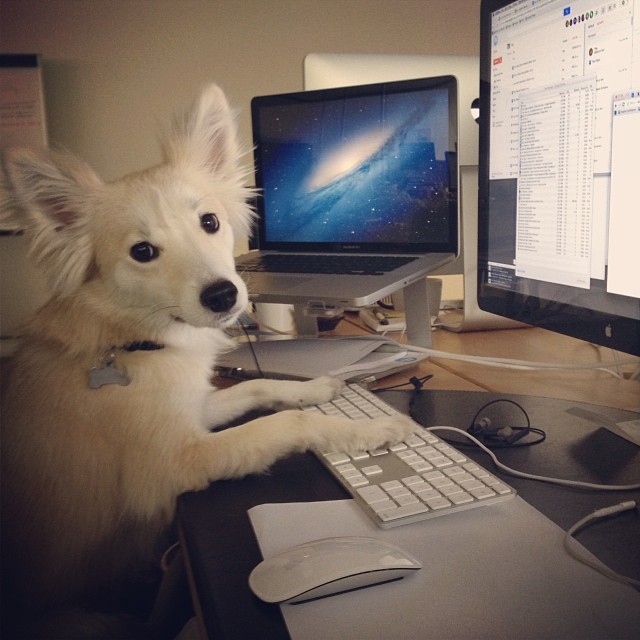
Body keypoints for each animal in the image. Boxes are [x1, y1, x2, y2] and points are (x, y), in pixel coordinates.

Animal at [1, 84, 416, 636]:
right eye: (142, 251)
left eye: (210, 222)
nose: (224, 296)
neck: (135, 344)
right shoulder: (177, 461)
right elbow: (289, 424)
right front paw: (369, 430)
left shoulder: (197, 407)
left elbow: (256, 387)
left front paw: (317, 388)